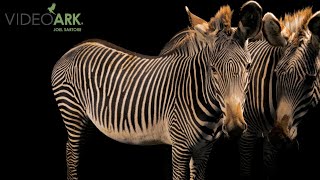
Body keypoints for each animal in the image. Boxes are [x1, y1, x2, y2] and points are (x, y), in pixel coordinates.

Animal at [51, 1, 262, 180]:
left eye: (249, 66)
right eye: (213, 69)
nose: (235, 127)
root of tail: (73, 49)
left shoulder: (204, 150)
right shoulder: (180, 147)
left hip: (86, 118)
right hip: (72, 111)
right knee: (71, 151)